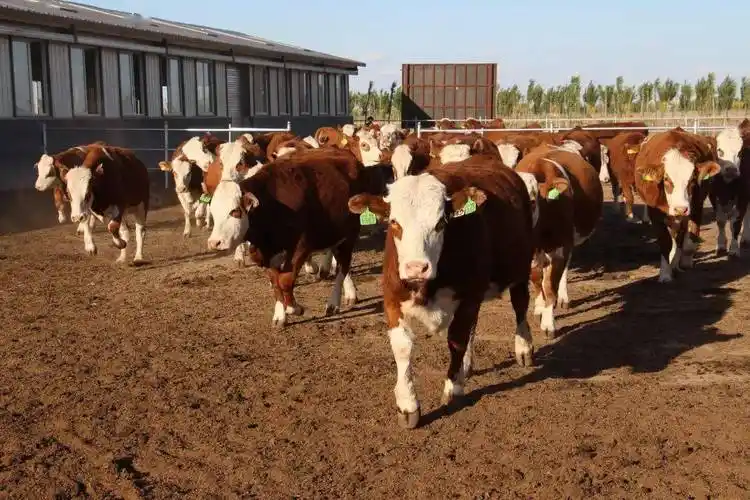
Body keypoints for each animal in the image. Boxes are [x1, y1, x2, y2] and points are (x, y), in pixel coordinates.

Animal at [347, 158, 535, 429]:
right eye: (394, 222)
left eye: (440, 223)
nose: (416, 267)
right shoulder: (391, 298)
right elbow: (403, 346)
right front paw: (408, 405)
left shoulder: (469, 297)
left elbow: (456, 340)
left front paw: (453, 389)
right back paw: (467, 366)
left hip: (520, 268)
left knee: (520, 305)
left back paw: (523, 348)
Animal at [515, 145, 603, 337]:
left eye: (531, 202)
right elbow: (536, 279)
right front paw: (540, 306)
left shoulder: (560, 248)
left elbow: (550, 287)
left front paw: (549, 324)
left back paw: (563, 297)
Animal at [634, 128, 721, 282]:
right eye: (666, 179)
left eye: (692, 179)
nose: (680, 208)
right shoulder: (655, 213)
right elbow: (665, 243)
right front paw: (665, 274)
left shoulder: (696, 207)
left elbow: (689, 241)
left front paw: (683, 263)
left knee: (679, 238)